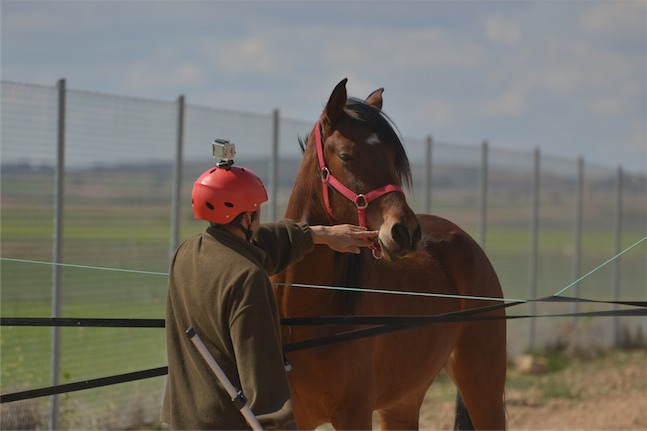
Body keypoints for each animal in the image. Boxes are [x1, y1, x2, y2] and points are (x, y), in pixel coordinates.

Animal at [272, 79, 506, 430]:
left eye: (394, 157)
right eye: (346, 155)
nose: (405, 232)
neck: (303, 312)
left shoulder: (354, 412)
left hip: (483, 389)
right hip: (403, 401)